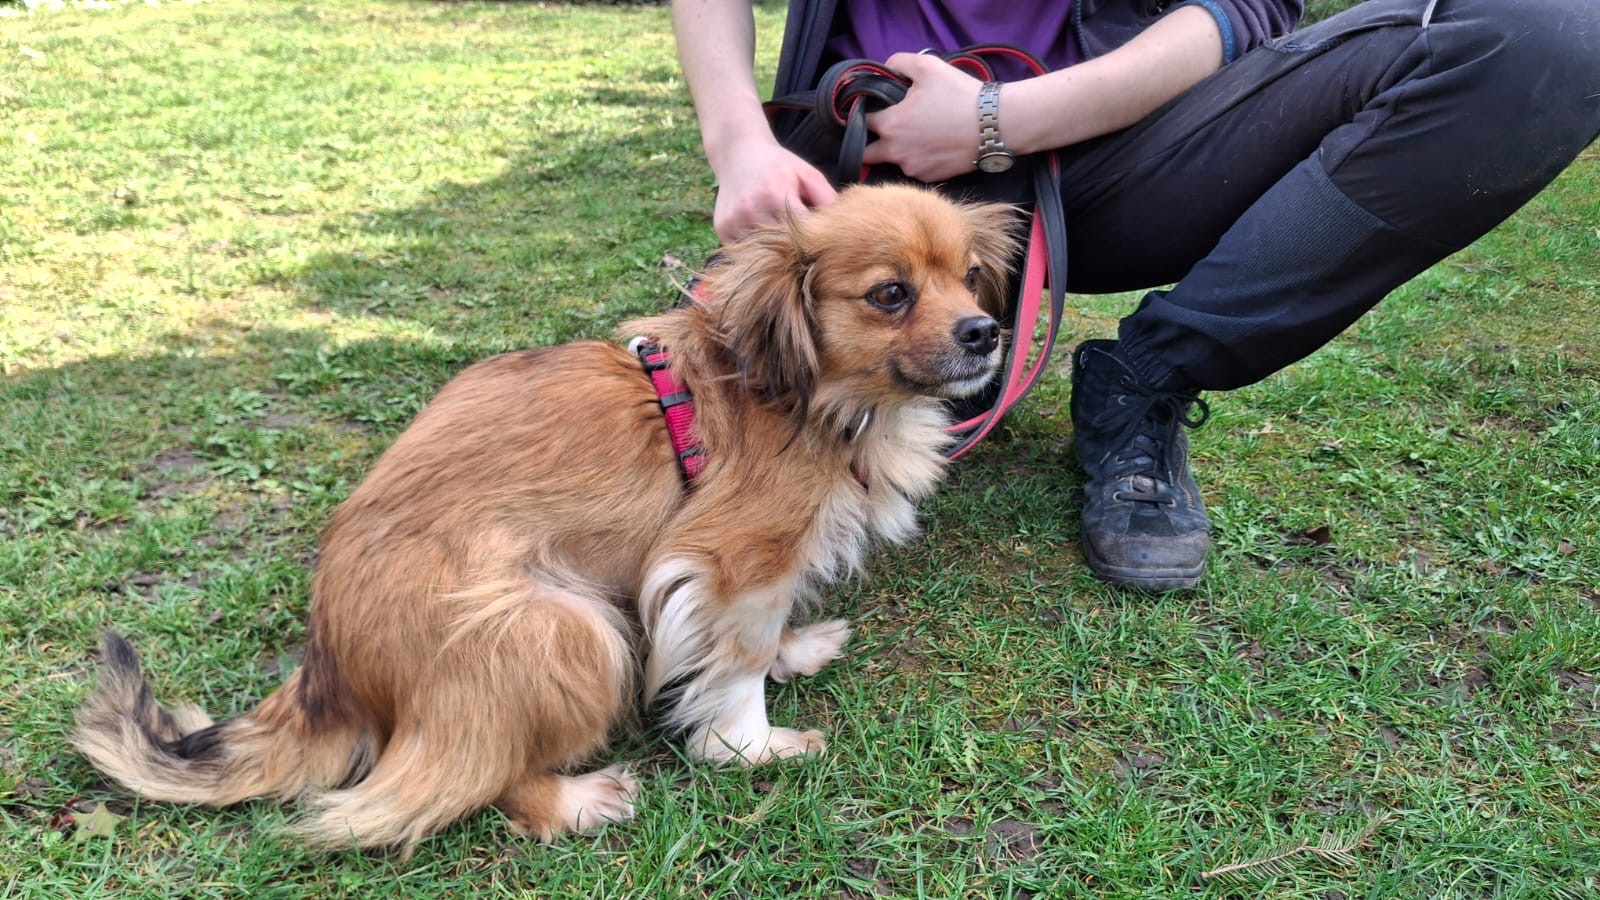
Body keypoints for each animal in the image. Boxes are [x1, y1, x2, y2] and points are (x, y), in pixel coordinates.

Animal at [72, 183, 1020, 851]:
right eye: (891, 294)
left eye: (967, 277)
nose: (984, 333)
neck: (810, 395)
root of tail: (327, 677)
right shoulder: (730, 561)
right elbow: (737, 661)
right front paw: (749, 746)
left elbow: (751, 638)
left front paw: (796, 650)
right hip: (563, 627)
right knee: (463, 782)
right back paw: (576, 801)